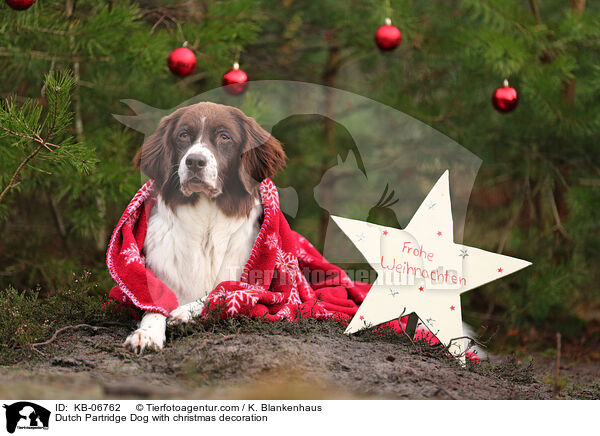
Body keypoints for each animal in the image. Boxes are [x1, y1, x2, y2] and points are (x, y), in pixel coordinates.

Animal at [122, 100, 286, 352]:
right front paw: (147, 334)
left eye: (225, 137)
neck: (207, 224)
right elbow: (154, 305)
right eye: (183, 135)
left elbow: (223, 292)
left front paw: (184, 312)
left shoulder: (258, 288)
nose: (195, 161)